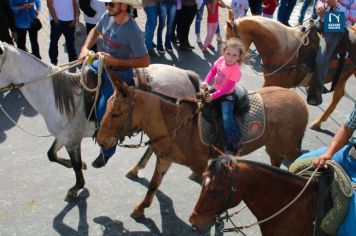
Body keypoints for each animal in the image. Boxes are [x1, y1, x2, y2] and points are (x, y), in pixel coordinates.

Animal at [0, 42, 200, 201]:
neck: (58, 97)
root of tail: (187, 75)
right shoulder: (64, 135)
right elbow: (51, 154)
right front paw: (80, 165)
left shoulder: (72, 139)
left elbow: (75, 166)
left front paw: (76, 187)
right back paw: (137, 168)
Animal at [96, 81, 308, 218]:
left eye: (115, 114)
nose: (100, 141)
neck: (178, 124)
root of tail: (299, 100)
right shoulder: (165, 158)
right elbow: (154, 185)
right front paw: (141, 208)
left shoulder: (201, 167)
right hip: (273, 147)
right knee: (276, 164)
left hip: (287, 148)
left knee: (297, 162)